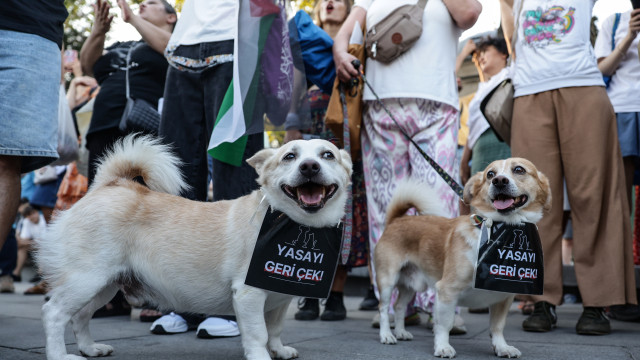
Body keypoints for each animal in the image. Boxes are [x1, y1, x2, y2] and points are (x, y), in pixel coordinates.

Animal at [35, 135, 352, 360]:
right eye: (290, 156)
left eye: (327, 155)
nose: (309, 166)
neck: (291, 223)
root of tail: (109, 185)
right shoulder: (249, 296)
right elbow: (258, 335)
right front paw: (261, 356)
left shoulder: (279, 298)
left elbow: (275, 330)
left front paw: (280, 350)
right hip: (86, 279)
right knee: (54, 314)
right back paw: (60, 356)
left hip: (105, 285)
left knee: (80, 316)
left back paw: (90, 349)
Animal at [376, 159, 552, 358]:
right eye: (490, 174)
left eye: (519, 169)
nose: (499, 181)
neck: (497, 229)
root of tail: (396, 220)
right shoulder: (447, 291)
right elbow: (444, 324)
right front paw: (442, 347)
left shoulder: (503, 297)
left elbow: (497, 327)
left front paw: (502, 347)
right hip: (387, 280)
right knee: (384, 308)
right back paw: (386, 335)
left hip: (411, 286)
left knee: (398, 306)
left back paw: (400, 332)